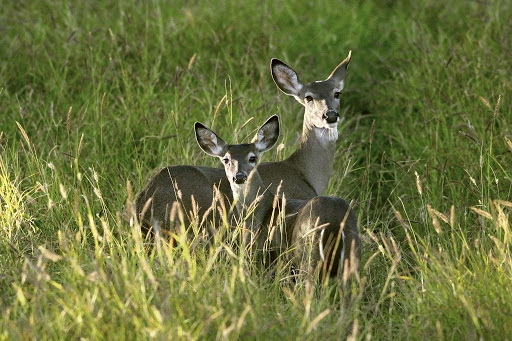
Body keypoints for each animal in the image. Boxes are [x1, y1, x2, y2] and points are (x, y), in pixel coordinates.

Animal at [196, 114, 360, 284]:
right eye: (226, 159)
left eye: (252, 158)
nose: (239, 176)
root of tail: (335, 222)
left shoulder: (259, 255)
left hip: (309, 255)